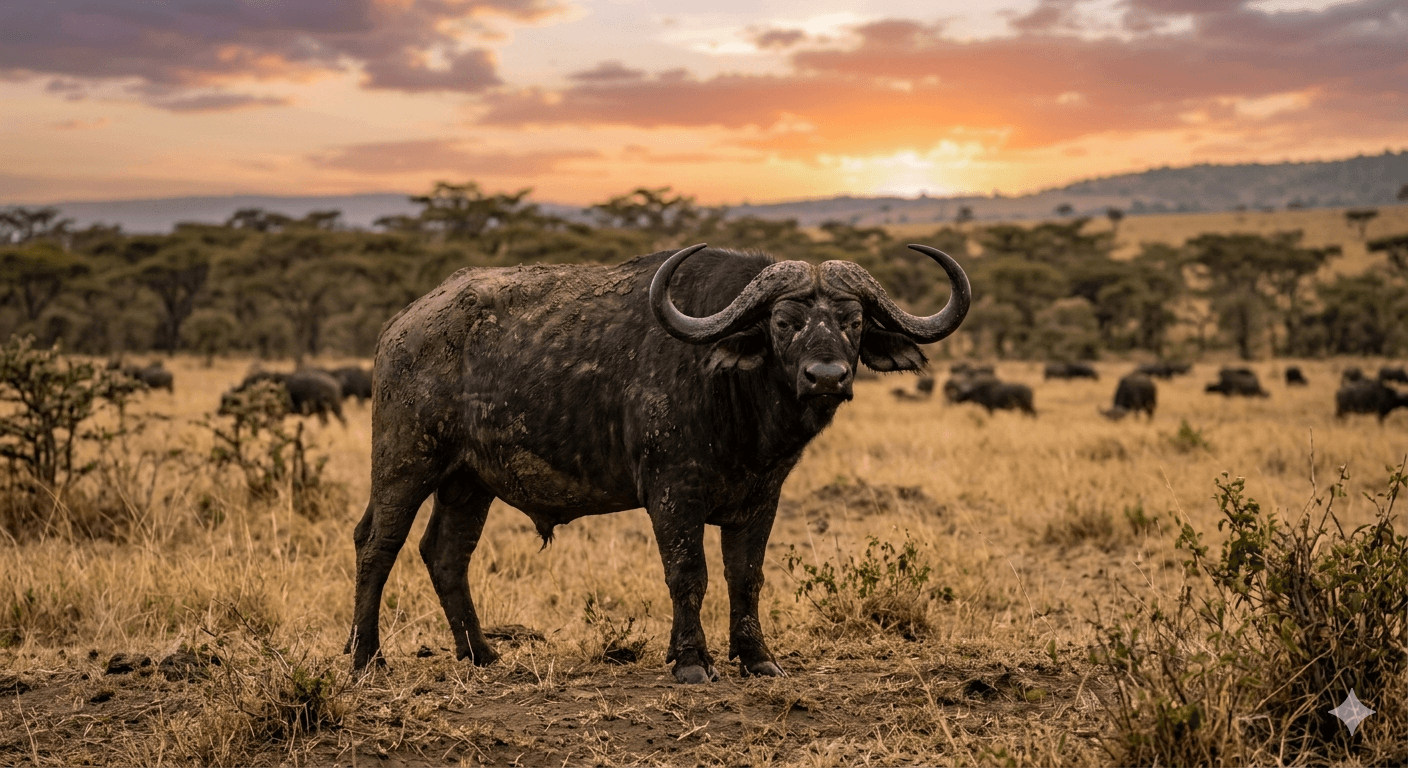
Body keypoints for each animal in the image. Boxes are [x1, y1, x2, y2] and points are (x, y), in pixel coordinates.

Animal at [346, 243, 970, 682]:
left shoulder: (761, 500)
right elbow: (688, 574)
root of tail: (401, 326)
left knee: (445, 554)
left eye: (853, 321)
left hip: (468, 482)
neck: (735, 404)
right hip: (406, 463)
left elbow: (746, 576)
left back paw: (480, 654)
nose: (826, 377)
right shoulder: (673, 496)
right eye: (783, 322)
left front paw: (757, 658)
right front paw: (692, 661)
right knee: (377, 544)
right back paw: (366, 657)